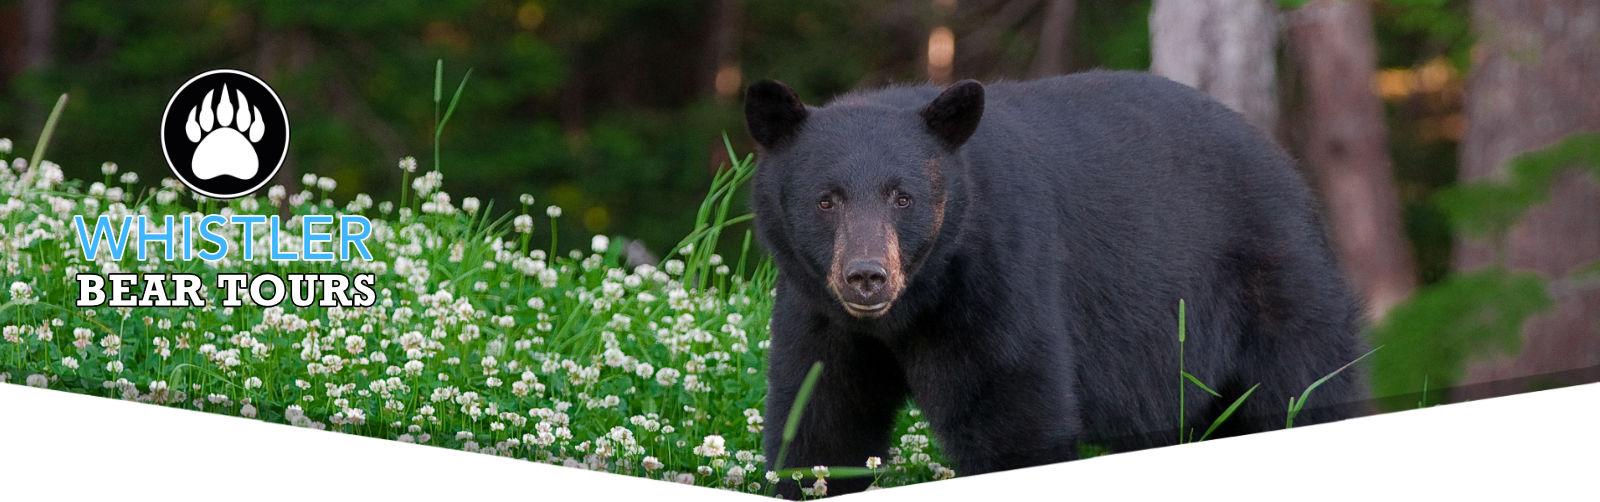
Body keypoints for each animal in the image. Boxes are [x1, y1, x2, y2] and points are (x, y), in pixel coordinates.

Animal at [745, 71, 1368, 498]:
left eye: (904, 197)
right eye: (826, 200)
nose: (867, 276)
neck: (912, 307)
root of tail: (1284, 163)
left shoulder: (998, 274)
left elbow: (1012, 410)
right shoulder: (817, 312)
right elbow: (823, 421)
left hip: (1272, 286)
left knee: (1305, 386)